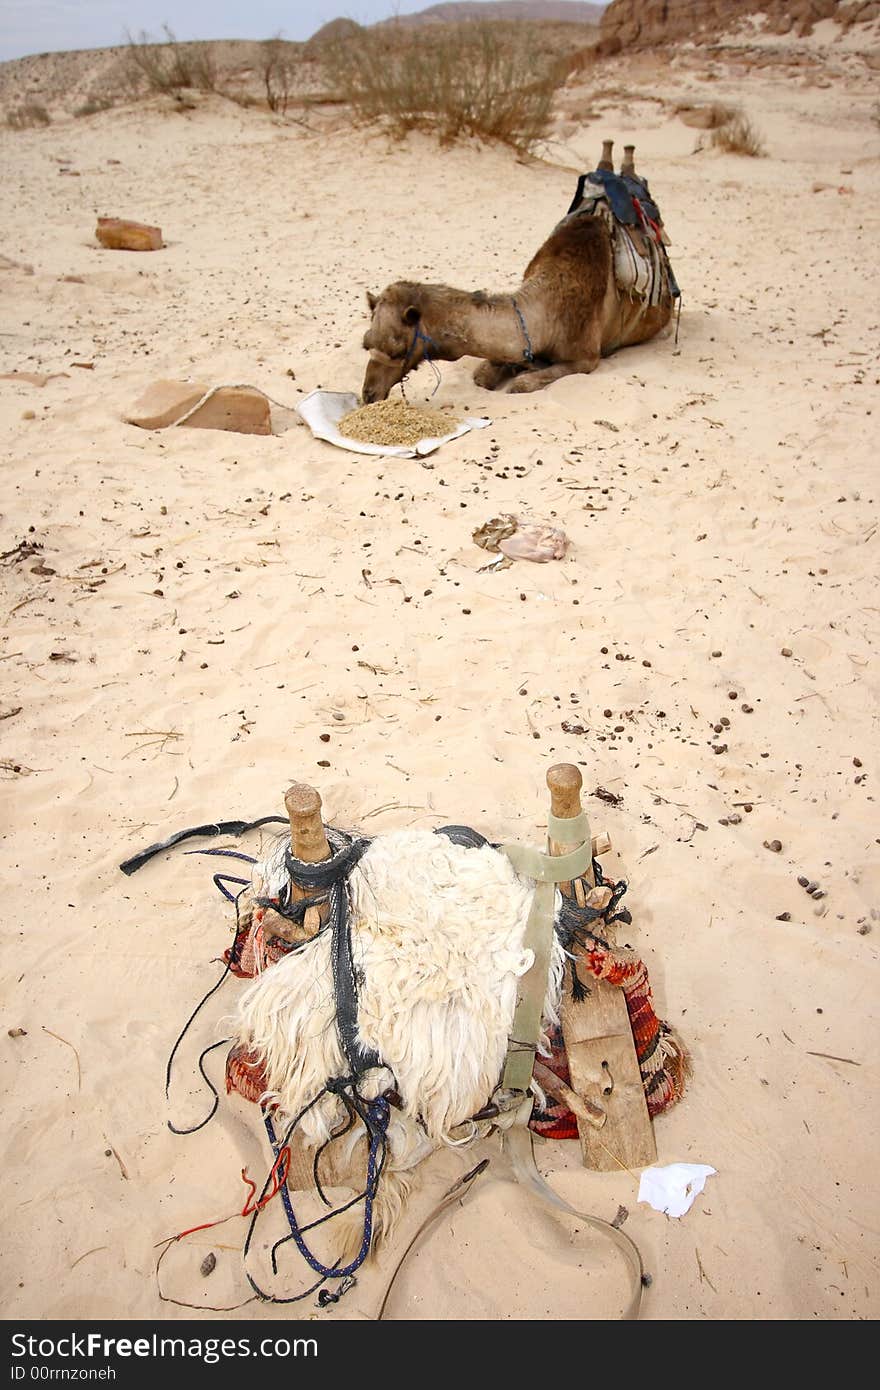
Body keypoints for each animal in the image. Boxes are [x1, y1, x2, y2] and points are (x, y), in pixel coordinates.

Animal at [361, 143, 675, 400]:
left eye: (398, 349)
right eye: (366, 343)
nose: (369, 393)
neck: (547, 311)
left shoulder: (586, 357)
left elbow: (521, 384)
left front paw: (523, 377)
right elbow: (482, 376)